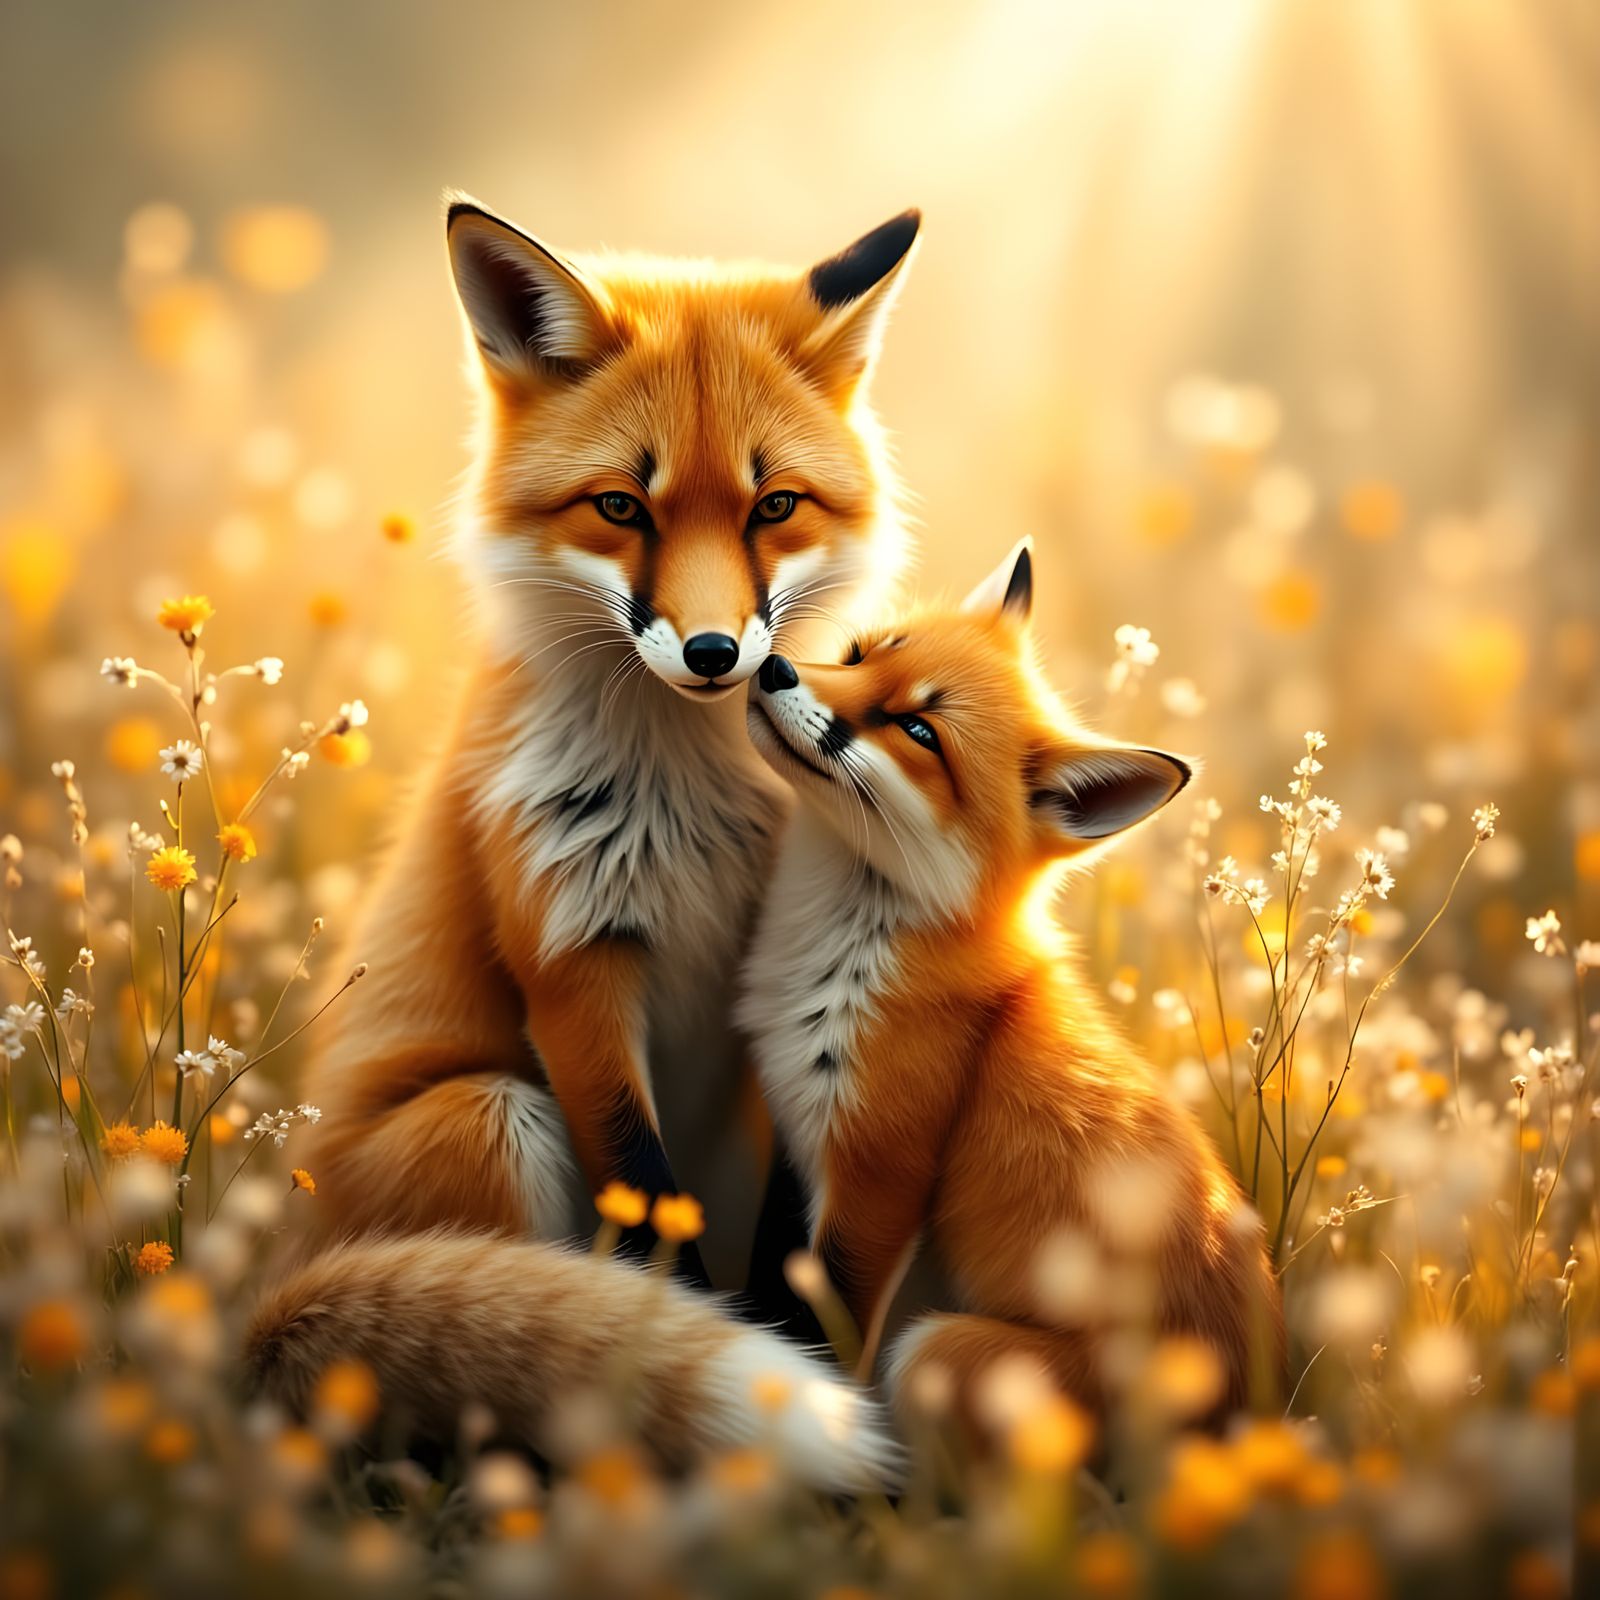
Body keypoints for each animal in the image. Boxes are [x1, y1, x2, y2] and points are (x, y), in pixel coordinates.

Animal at [300, 198, 920, 1281]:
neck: (692, 805)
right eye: (621, 507)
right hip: (492, 1116)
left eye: (774, 506)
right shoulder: (573, 965)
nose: (715, 653)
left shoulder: (776, 971)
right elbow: (644, 1208)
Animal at [735, 542, 1281, 1430]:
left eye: (919, 730)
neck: (829, 956)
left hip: (932, 1350)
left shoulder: (879, 1173)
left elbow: (819, 1332)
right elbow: (767, 1282)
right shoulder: (795, 1138)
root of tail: (1259, 1416)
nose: (774, 665)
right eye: (857, 654)